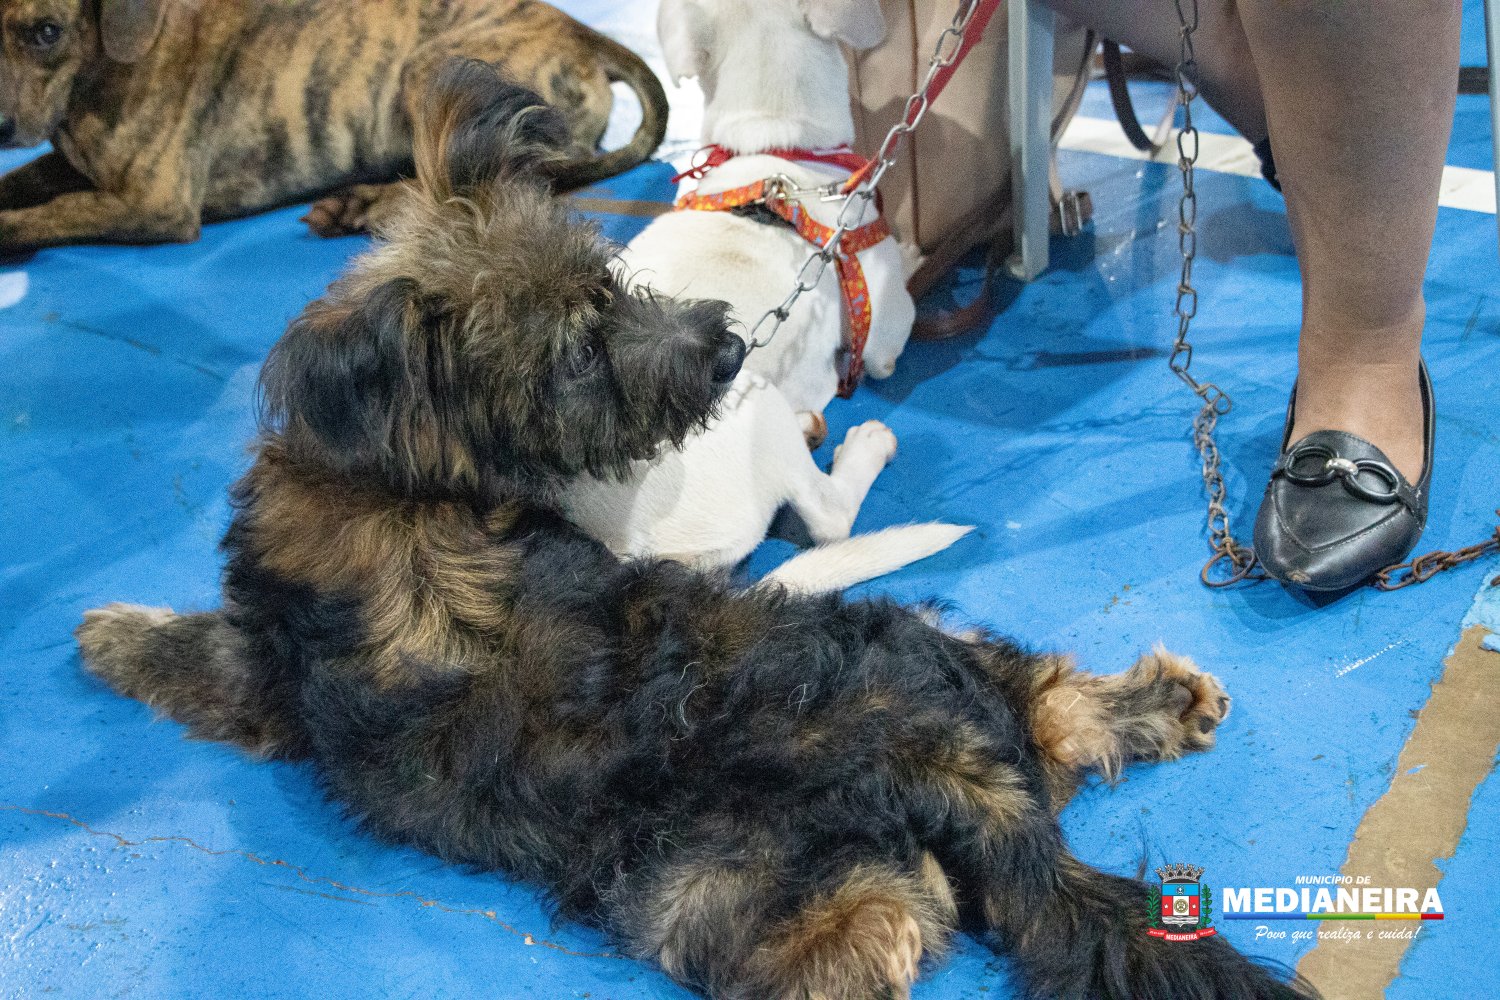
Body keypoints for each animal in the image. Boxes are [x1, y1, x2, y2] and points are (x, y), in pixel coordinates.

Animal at [0, 0, 667, 253]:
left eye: (46, 32)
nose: (2, 126)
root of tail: (585, 33)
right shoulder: (73, 166)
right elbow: (25, 183)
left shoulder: (155, 202)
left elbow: (55, 212)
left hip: (428, 70)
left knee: (502, 179)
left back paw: (366, 206)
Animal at [76, 63, 1317, 1000]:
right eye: (572, 355)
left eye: (608, 283)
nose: (725, 350)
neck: (396, 476)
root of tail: (942, 760)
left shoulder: (256, 676)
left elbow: (177, 648)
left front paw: (105, 630)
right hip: (920, 638)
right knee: (1048, 701)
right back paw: (1159, 700)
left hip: (712, 893)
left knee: (875, 935)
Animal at [559, 0, 945, 583]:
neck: (774, 150)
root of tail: (621, 553)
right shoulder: (883, 333)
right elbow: (894, 320)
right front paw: (912, 256)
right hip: (756, 402)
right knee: (830, 519)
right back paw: (865, 447)